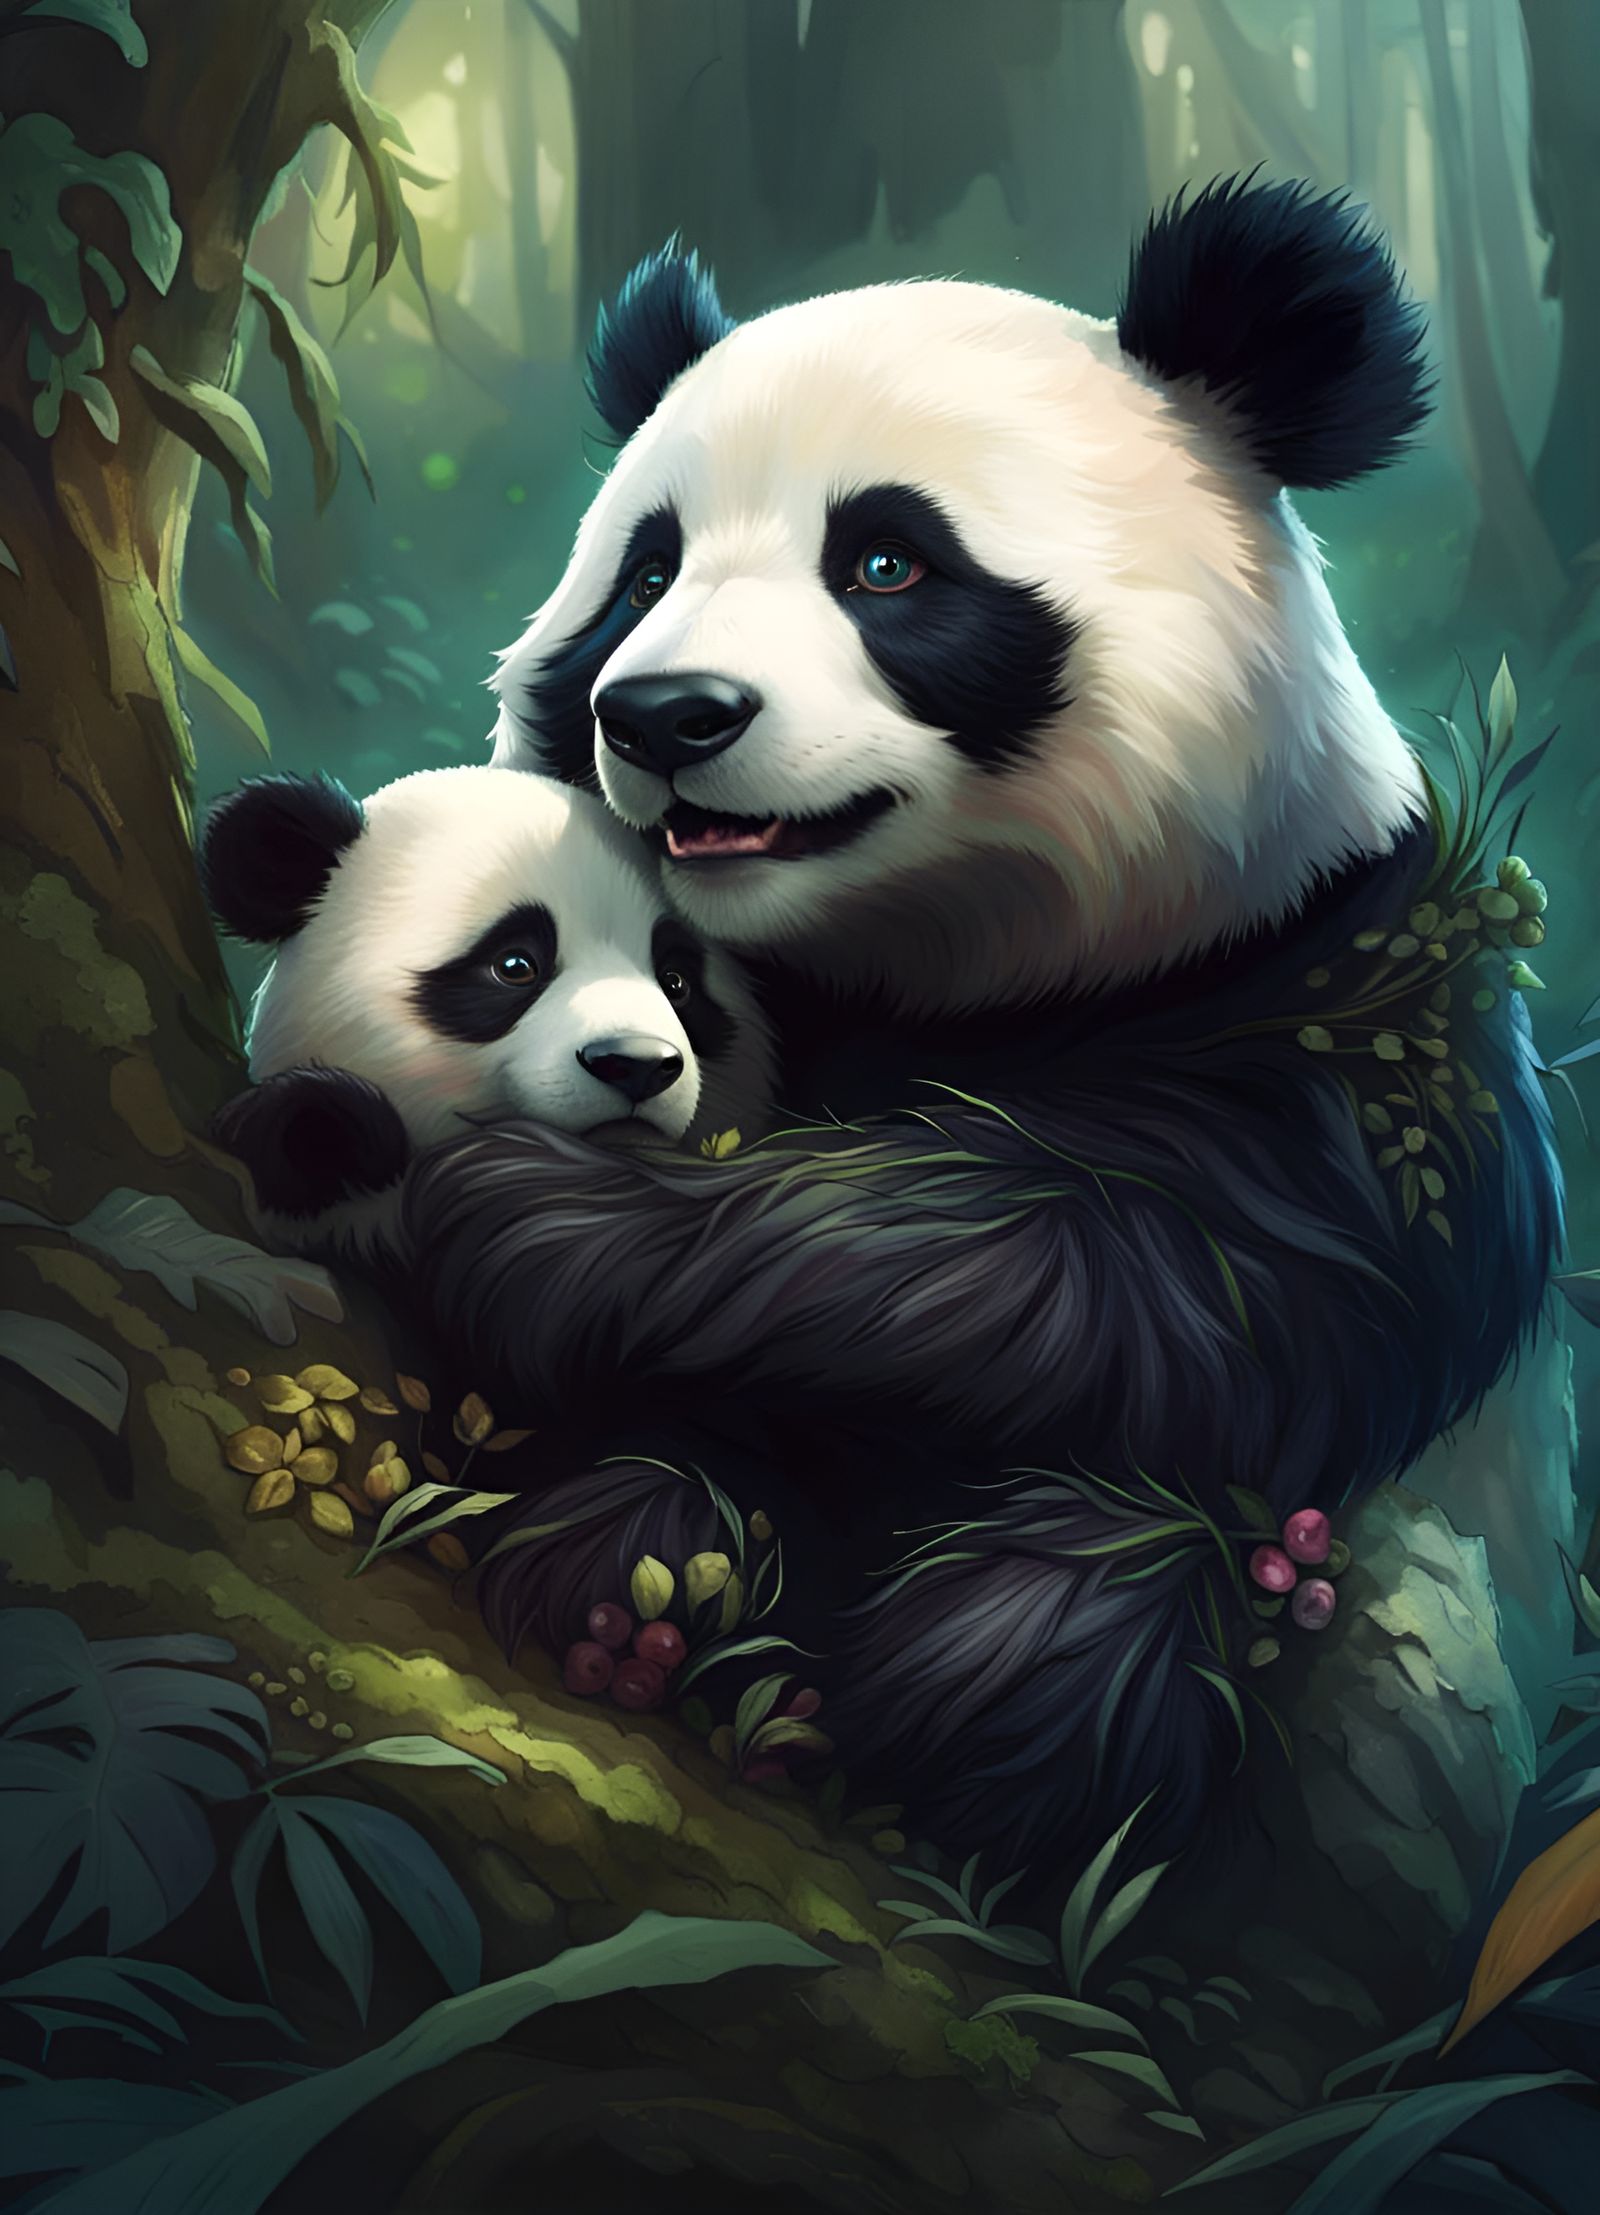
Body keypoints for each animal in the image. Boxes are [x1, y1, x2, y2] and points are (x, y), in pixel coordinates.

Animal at [401, 178, 1564, 1871]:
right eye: (645, 574)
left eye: (888, 564)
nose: (666, 711)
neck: (930, 957)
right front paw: (647, 1516)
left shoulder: (1346, 988)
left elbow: (1176, 1276)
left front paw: (541, 1219)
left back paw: (988, 1695)